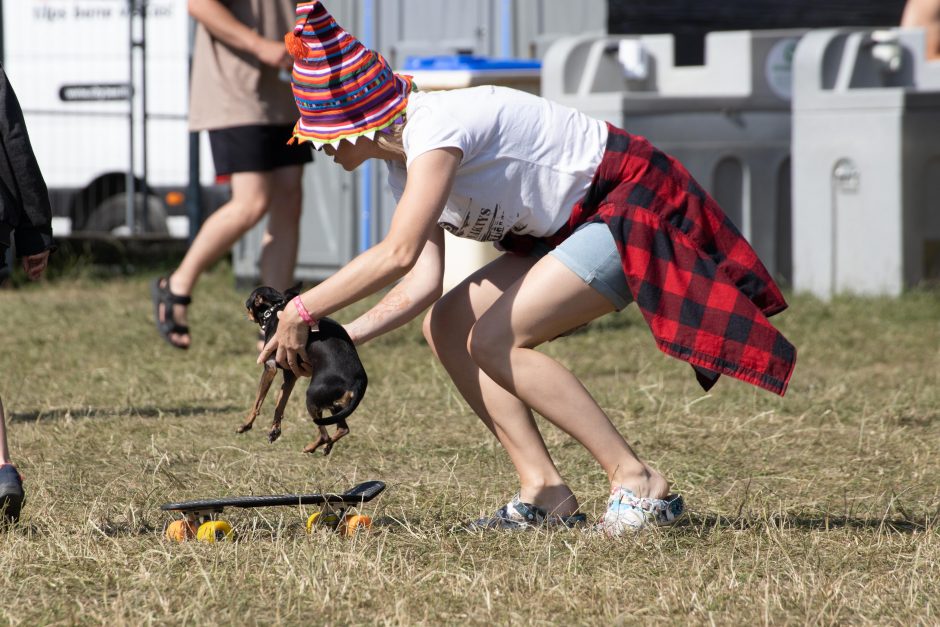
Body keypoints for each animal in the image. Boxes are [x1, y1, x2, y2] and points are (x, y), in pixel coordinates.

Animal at [239, 286, 368, 456]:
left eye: (247, 305)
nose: (245, 314)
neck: (274, 308)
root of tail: (358, 382)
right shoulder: (290, 375)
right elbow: (280, 404)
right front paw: (275, 431)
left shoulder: (270, 367)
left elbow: (257, 402)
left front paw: (246, 424)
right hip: (335, 405)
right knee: (342, 429)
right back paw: (324, 447)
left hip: (312, 399)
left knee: (324, 434)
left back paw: (311, 447)